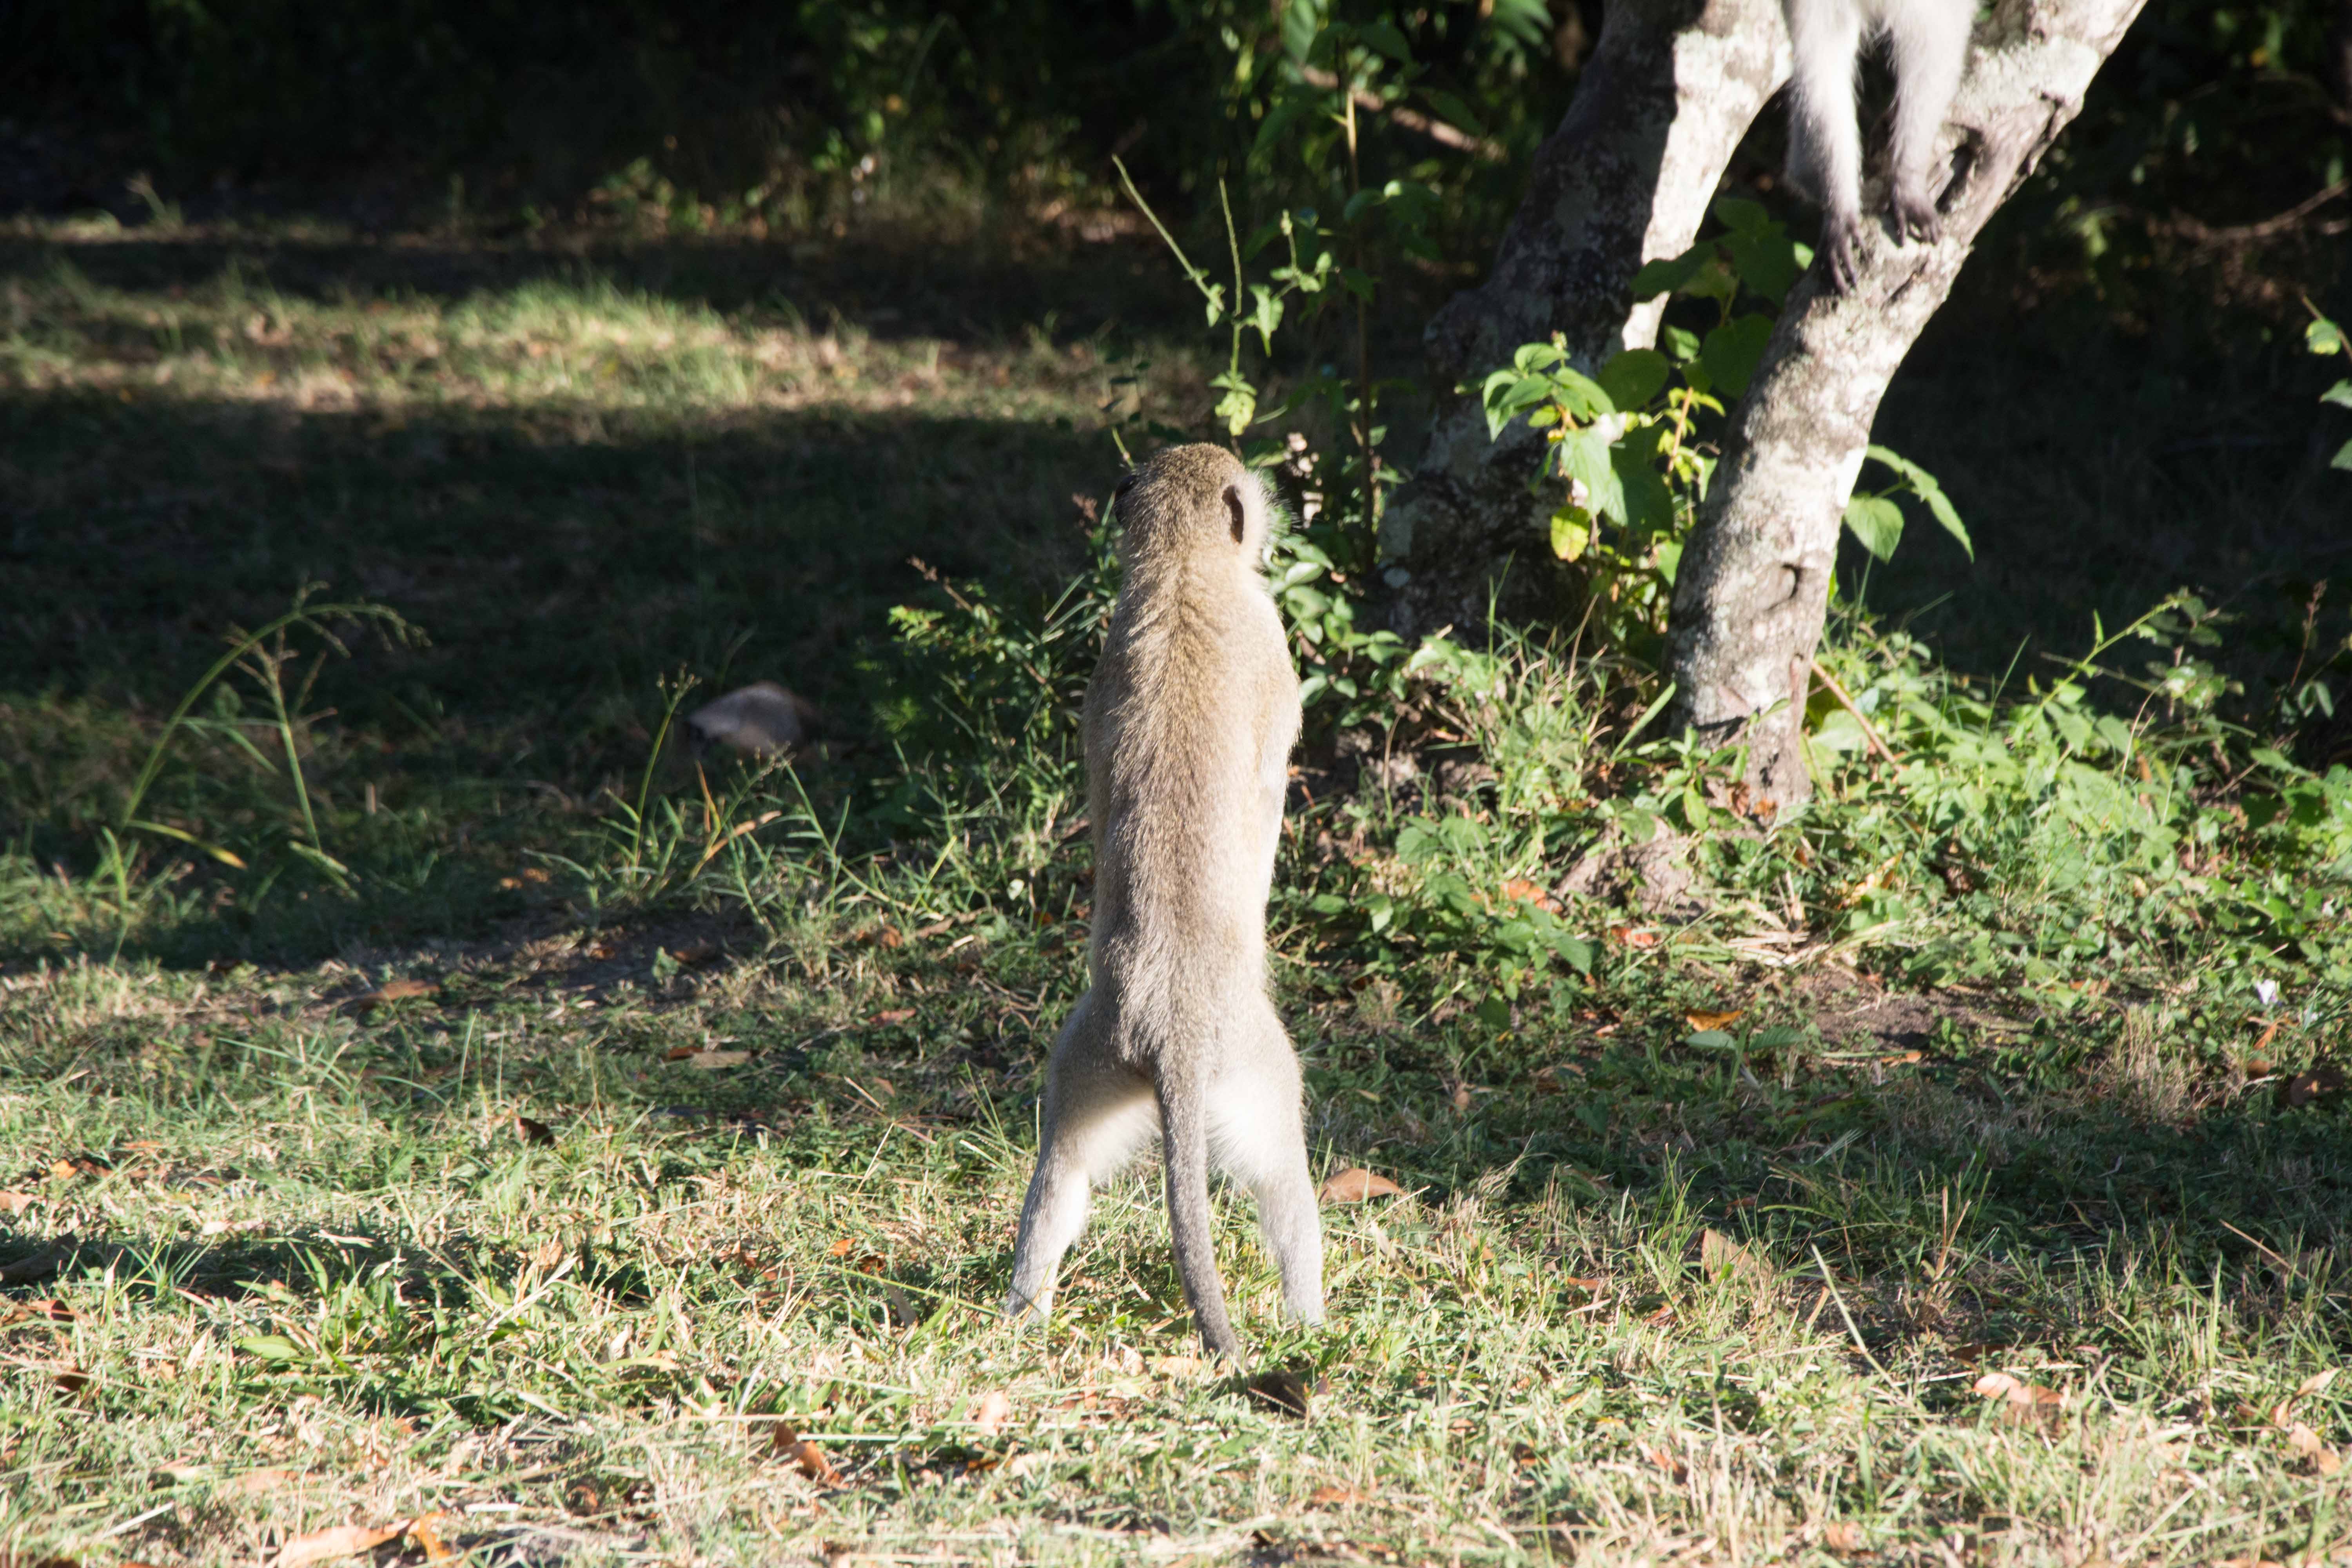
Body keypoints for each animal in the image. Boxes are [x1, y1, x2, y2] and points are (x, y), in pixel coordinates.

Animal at [1003, 443, 1323, 1359]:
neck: (1183, 569)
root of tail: (1170, 1023)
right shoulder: (1272, 645)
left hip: (1088, 1056)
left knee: (1062, 1169)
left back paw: (1021, 1311)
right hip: (1255, 1066)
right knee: (1283, 1176)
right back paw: (1310, 1320)